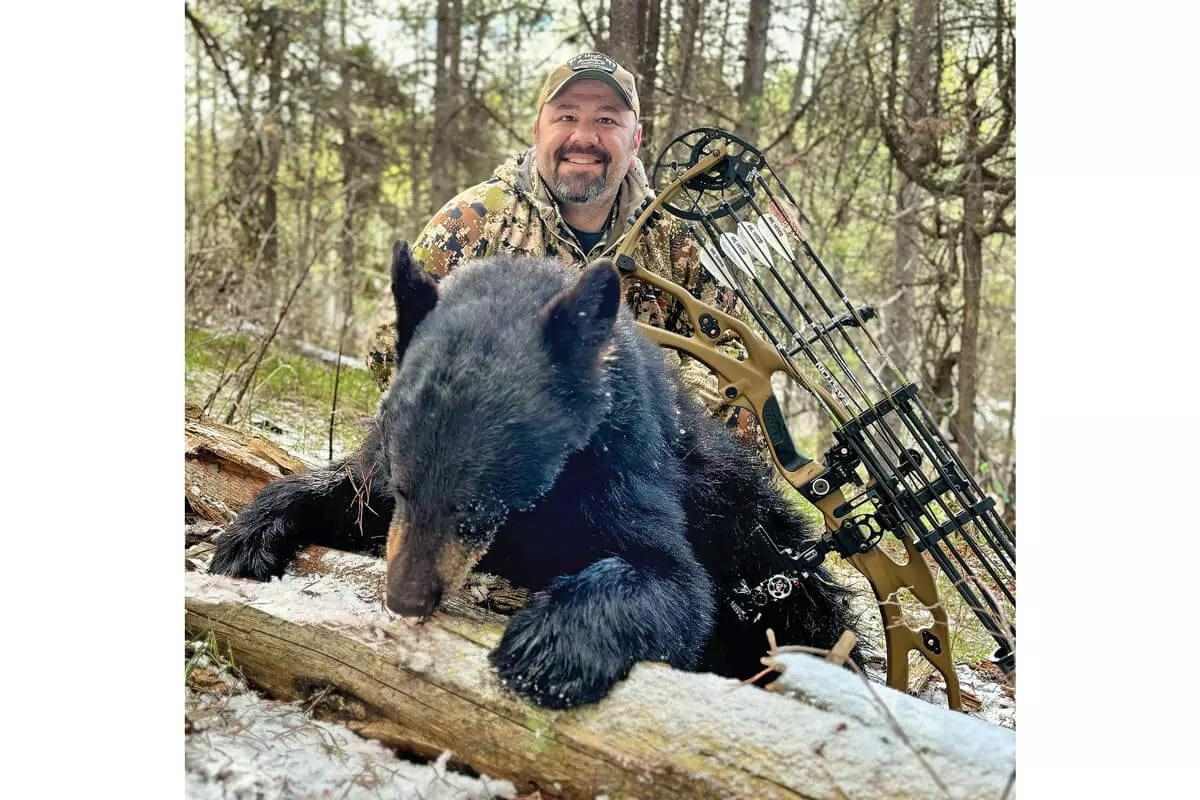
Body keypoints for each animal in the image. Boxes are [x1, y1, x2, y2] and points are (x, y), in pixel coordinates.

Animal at [210, 241, 860, 709]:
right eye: (404, 487)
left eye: (477, 505)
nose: (405, 598)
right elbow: (347, 493)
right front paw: (247, 538)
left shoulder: (623, 463)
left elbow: (675, 580)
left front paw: (549, 646)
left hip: (772, 553)